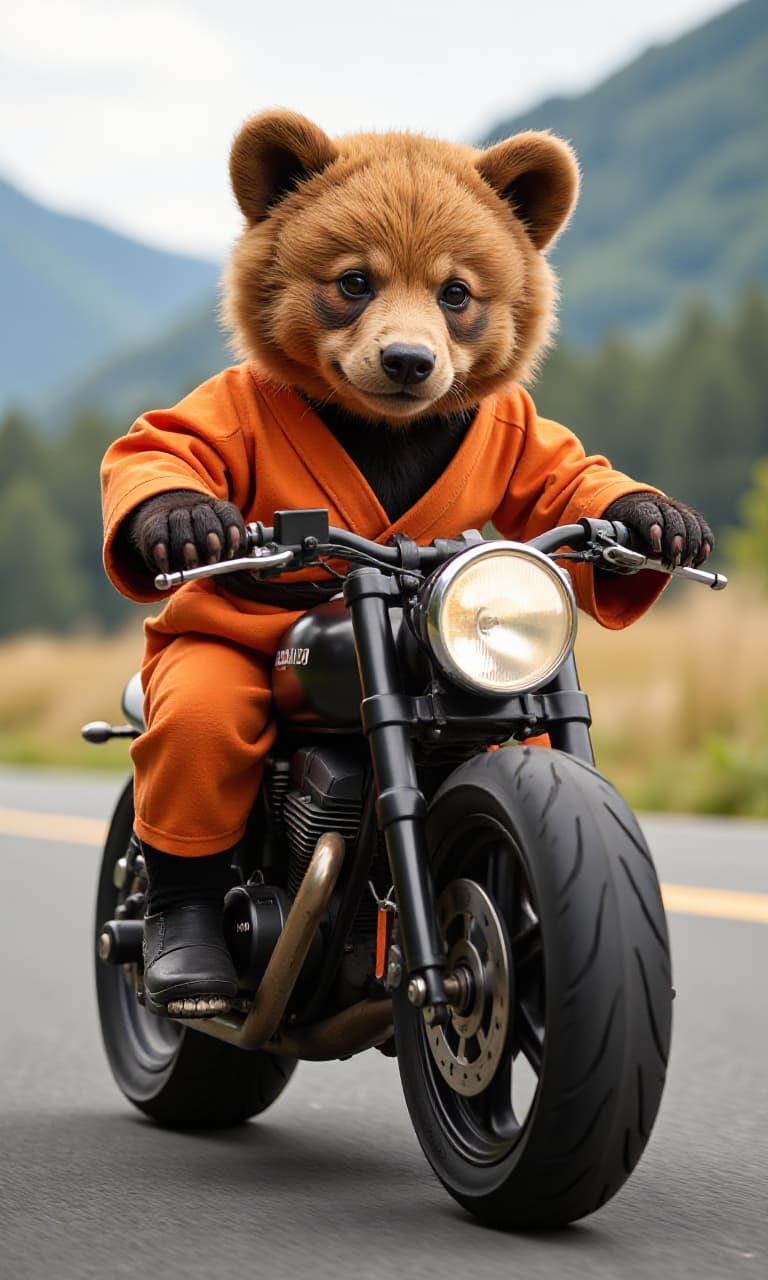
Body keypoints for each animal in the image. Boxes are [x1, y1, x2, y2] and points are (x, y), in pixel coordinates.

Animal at [101, 110, 713, 1016]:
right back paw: (177, 963)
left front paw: (655, 518)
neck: (383, 430)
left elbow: (566, 472)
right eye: (353, 282)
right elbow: (164, 445)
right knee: (168, 808)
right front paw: (181, 518)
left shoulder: (515, 427)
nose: (408, 363)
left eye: (456, 294)